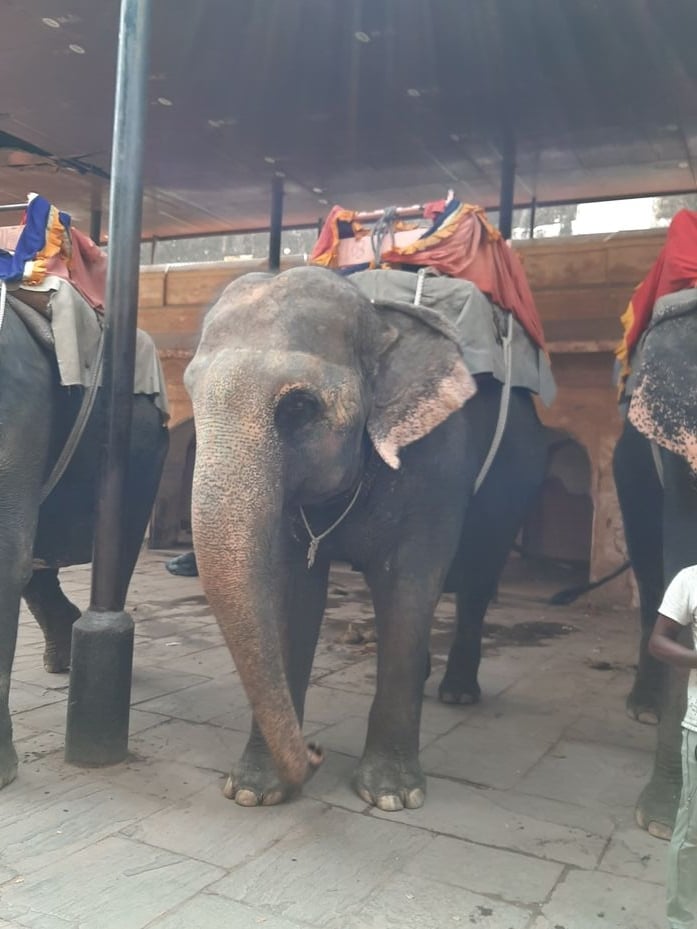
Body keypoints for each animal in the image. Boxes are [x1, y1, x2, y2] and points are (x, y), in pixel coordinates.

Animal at [185, 265, 555, 810]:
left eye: (299, 407)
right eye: (190, 393)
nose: (314, 751)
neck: (380, 321)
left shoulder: (436, 463)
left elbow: (408, 588)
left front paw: (393, 797)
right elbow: (293, 591)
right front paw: (253, 792)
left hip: (518, 481)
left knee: (478, 579)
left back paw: (458, 692)